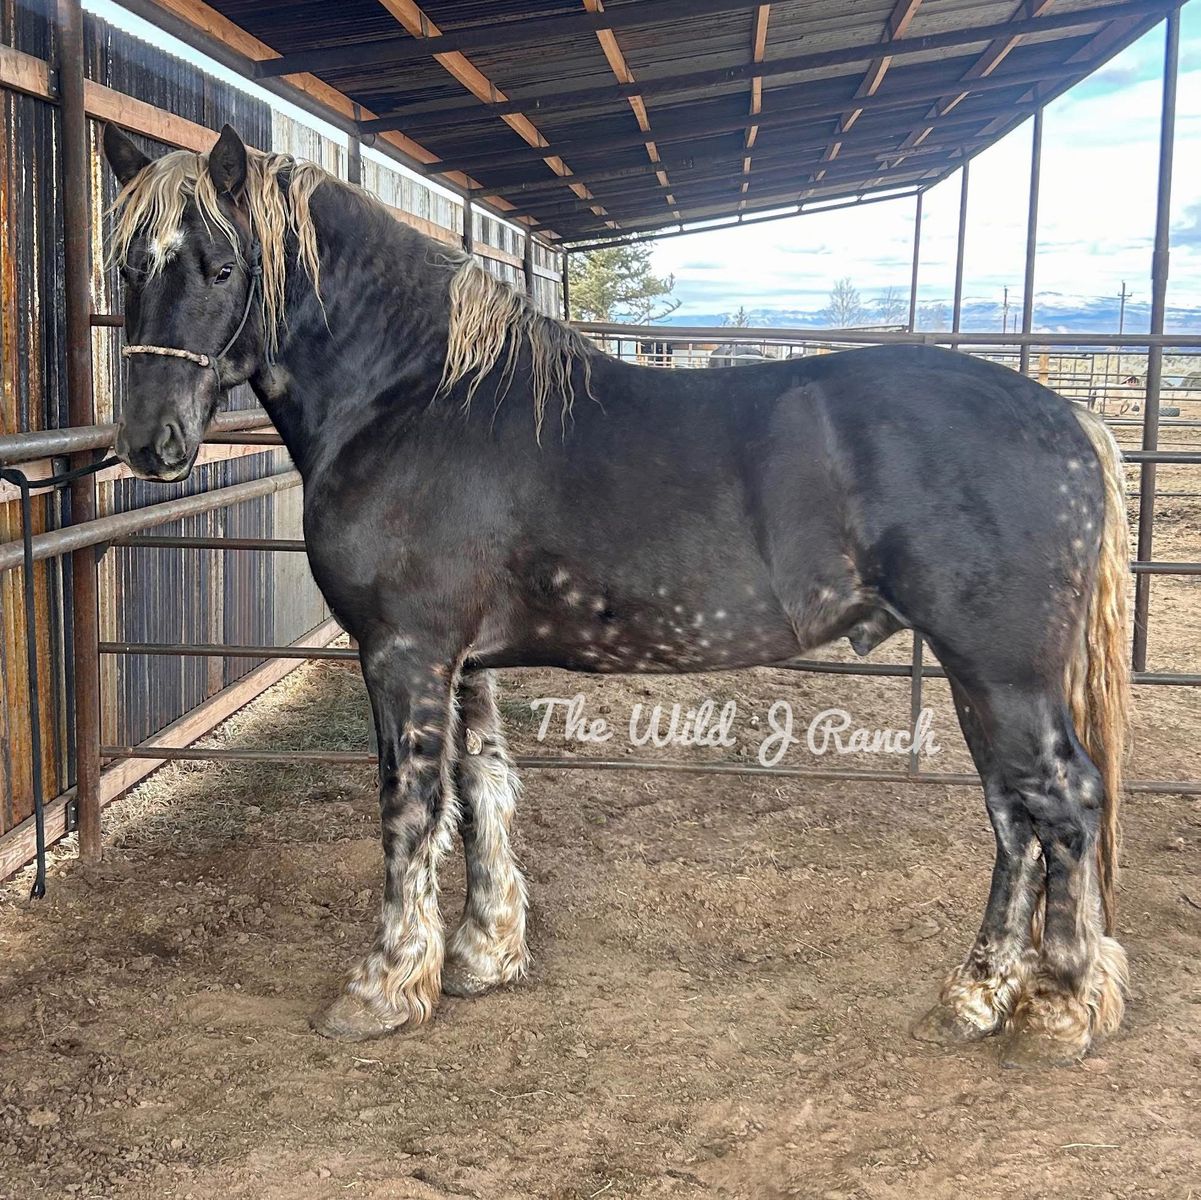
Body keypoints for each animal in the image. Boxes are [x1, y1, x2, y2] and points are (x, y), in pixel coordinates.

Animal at [102, 123, 1132, 1067]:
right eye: (126, 265)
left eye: (221, 264)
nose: (150, 442)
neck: (414, 396)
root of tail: (1069, 418)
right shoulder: (462, 663)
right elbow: (483, 788)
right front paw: (482, 954)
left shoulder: (405, 652)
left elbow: (409, 807)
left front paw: (385, 985)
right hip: (982, 678)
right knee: (1012, 816)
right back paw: (978, 995)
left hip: (1001, 672)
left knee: (1062, 803)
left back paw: (1058, 1006)